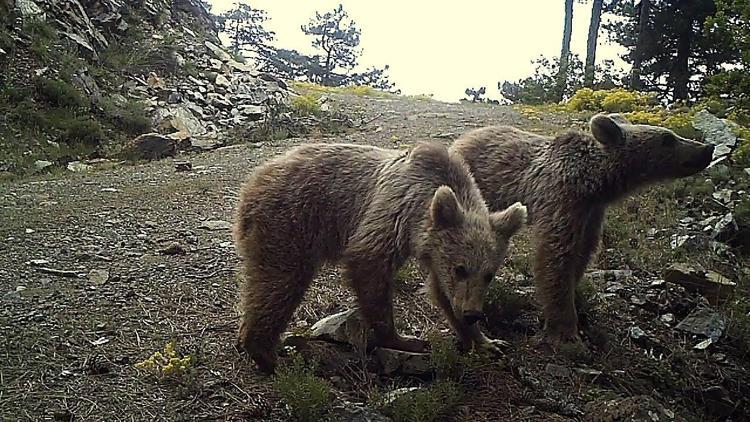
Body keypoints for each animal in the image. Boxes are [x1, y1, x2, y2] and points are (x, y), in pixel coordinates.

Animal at [235, 141, 528, 372]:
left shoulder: (436, 251)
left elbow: (441, 291)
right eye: (461, 269)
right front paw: (405, 340)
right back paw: (266, 355)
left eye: (489, 275)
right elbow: (370, 265)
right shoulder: (395, 211)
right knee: (279, 283)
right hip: (290, 220)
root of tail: (253, 179)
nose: (472, 313)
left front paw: (487, 343)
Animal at [452, 113, 716, 346]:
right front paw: (566, 332)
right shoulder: (561, 198)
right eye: (668, 138)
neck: (593, 181)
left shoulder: (591, 212)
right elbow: (556, 256)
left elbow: (583, 253)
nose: (707, 148)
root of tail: (463, 138)